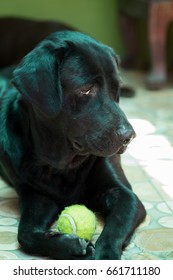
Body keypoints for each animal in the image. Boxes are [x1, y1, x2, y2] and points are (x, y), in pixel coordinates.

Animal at [0, 29, 146, 260]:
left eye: (117, 88)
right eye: (86, 90)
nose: (129, 136)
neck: (63, 165)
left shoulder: (124, 194)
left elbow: (114, 229)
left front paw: (105, 255)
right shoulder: (36, 196)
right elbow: (25, 234)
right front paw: (71, 245)